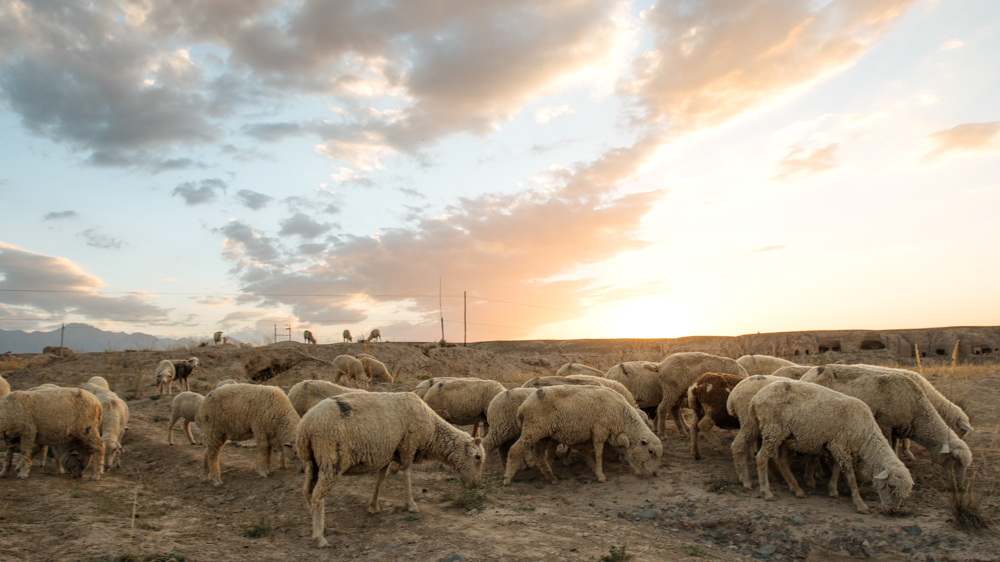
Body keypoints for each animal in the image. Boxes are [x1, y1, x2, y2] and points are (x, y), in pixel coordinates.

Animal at [296, 392, 484, 544]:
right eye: (478, 457)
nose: (476, 484)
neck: (431, 430)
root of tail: (306, 426)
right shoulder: (408, 445)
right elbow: (407, 476)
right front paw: (411, 505)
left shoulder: (388, 453)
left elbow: (381, 480)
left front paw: (373, 506)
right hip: (331, 460)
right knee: (317, 496)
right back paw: (320, 537)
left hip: (313, 462)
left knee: (307, 491)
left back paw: (320, 524)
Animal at [500, 382, 664, 484]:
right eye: (650, 451)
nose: (656, 474)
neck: (622, 414)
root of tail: (522, 407)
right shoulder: (600, 432)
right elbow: (598, 455)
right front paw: (601, 475)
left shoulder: (616, 436)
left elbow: (627, 453)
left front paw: (635, 470)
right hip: (532, 431)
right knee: (514, 450)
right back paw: (507, 478)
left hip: (543, 435)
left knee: (538, 455)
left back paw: (551, 476)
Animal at [744, 376, 916, 512]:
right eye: (890, 486)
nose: (893, 510)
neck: (866, 437)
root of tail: (756, 398)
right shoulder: (840, 445)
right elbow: (851, 477)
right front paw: (860, 504)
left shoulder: (837, 446)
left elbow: (837, 469)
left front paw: (833, 490)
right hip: (772, 429)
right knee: (762, 458)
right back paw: (767, 492)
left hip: (784, 435)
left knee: (781, 460)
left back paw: (797, 489)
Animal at [796, 364, 968, 486]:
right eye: (954, 458)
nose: (961, 486)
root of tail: (809, 373)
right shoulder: (885, 423)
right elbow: (890, 446)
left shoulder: (897, 428)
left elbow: (896, 446)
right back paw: (819, 472)